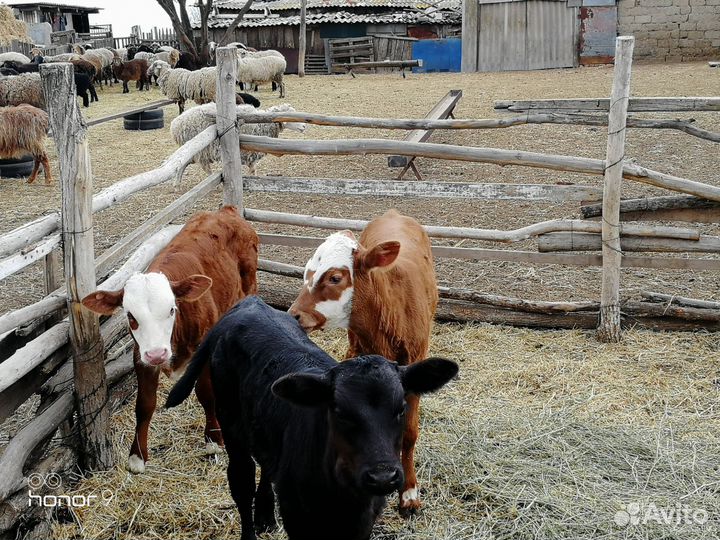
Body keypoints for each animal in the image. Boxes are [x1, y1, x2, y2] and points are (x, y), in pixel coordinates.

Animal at [81, 206, 258, 474]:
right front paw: (137, 456)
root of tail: (225, 211)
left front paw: (214, 439)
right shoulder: (140, 357)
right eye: (131, 316)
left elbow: (206, 393)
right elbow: (144, 404)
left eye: (172, 309)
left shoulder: (202, 351)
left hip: (250, 282)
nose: (158, 354)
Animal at [166, 296, 457, 540]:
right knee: (242, 482)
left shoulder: (365, 518)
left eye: (401, 408)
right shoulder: (297, 515)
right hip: (230, 424)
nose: (383, 477)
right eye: (339, 411)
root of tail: (249, 303)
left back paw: (265, 515)